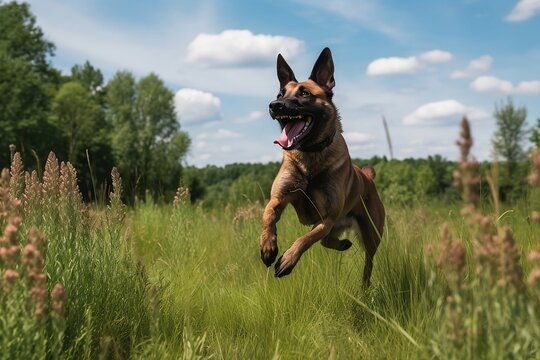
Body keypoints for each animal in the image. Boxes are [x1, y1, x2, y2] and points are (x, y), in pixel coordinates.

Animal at [260, 47, 384, 286]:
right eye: (280, 94)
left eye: (305, 94)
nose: (274, 105)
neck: (310, 155)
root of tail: (368, 177)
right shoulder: (279, 198)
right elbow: (268, 214)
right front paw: (268, 246)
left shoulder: (326, 218)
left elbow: (306, 238)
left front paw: (288, 259)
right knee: (328, 241)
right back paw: (343, 244)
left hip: (372, 235)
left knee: (368, 261)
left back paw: (364, 283)